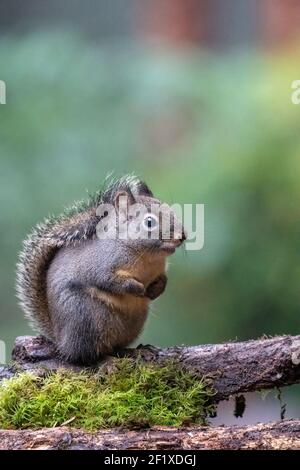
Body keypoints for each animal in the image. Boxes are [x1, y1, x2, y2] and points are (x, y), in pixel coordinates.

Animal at [17, 176, 185, 364]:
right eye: (150, 222)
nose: (182, 236)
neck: (147, 256)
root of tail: (61, 340)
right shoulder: (100, 265)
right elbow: (108, 280)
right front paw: (137, 288)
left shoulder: (159, 270)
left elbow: (163, 279)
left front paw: (156, 290)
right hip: (86, 316)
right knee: (86, 353)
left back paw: (134, 351)